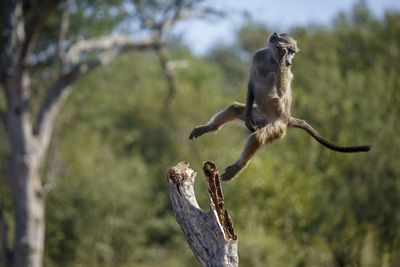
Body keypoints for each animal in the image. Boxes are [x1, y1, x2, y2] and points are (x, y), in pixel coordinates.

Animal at [189, 32, 370, 181]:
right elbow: (251, 84)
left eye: (292, 52)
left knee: (257, 137)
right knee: (235, 108)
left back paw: (237, 168)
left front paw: (282, 65)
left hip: (278, 127)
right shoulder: (257, 56)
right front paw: (246, 118)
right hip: (260, 117)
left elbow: (282, 93)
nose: (288, 60)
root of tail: (287, 119)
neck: (271, 59)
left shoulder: (285, 74)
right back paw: (208, 128)